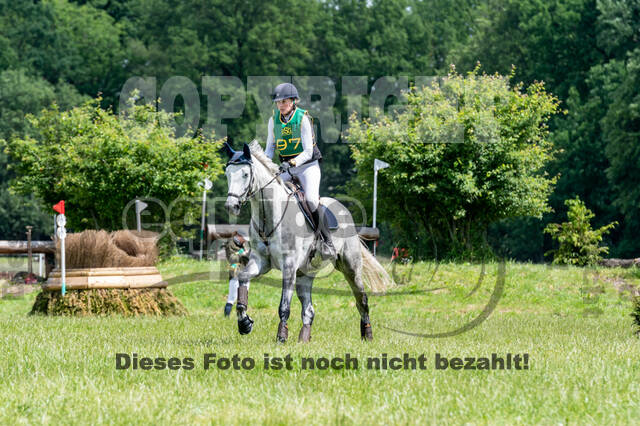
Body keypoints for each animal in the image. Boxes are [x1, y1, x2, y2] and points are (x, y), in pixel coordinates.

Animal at [224, 140, 392, 342]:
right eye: (227, 174)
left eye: (245, 174)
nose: (230, 206)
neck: (269, 215)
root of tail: (344, 210)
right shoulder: (261, 261)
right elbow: (242, 278)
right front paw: (245, 323)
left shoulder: (289, 266)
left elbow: (284, 306)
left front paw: (281, 337)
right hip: (305, 273)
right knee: (309, 310)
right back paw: (304, 338)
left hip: (350, 267)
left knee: (362, 300)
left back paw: (367, 334)